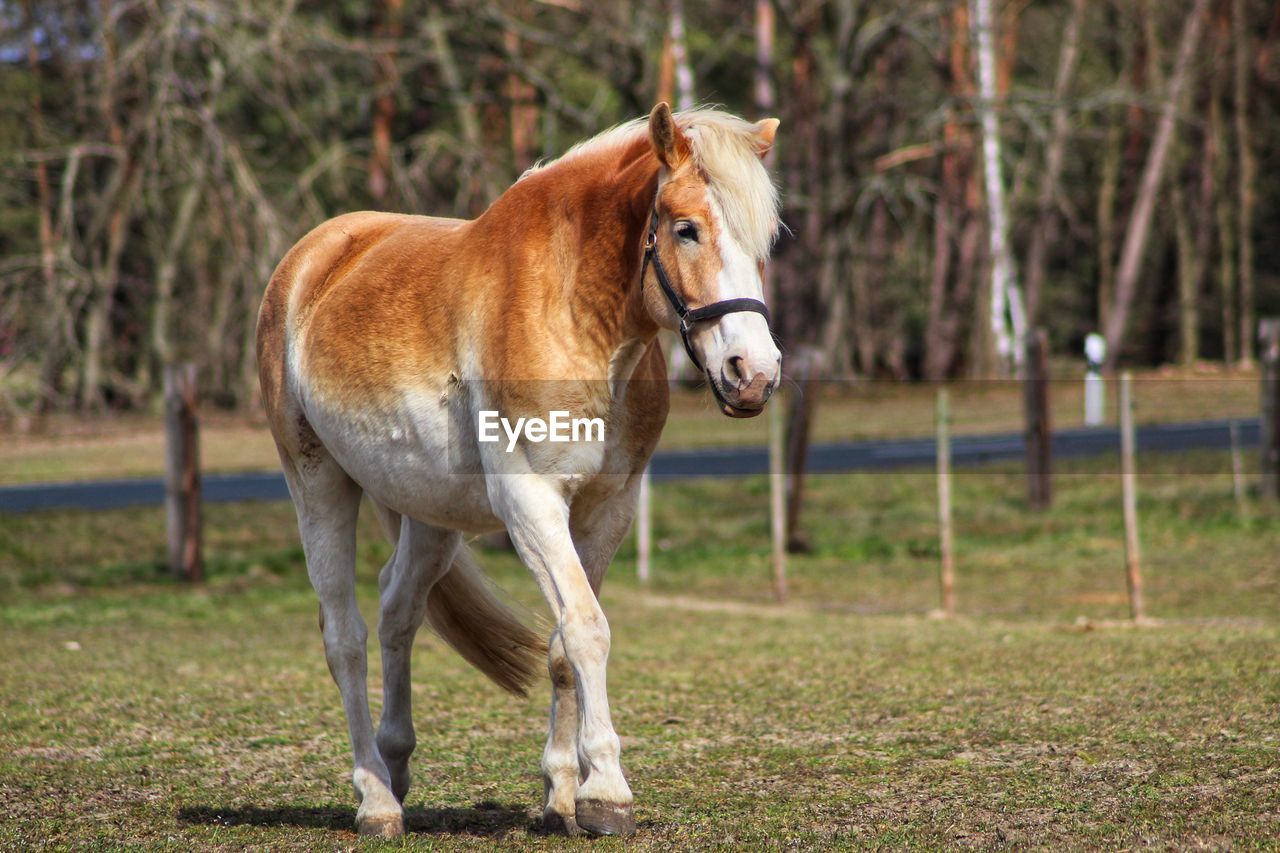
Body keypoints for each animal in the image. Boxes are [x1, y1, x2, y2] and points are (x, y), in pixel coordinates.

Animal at [253, 103, 778, 835]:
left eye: (765, 238)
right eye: (686, 228)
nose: (753, 373)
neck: (575, 316)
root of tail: (311, 258)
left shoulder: (609, 508)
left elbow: (562, 644)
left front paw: (564, 795)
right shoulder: (531, 503)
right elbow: (586, 628)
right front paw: (608, 791)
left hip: (429, 514)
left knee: (397, 612)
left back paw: (396, 764)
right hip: (318, 482)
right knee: (345, 637)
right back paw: (376, 799)